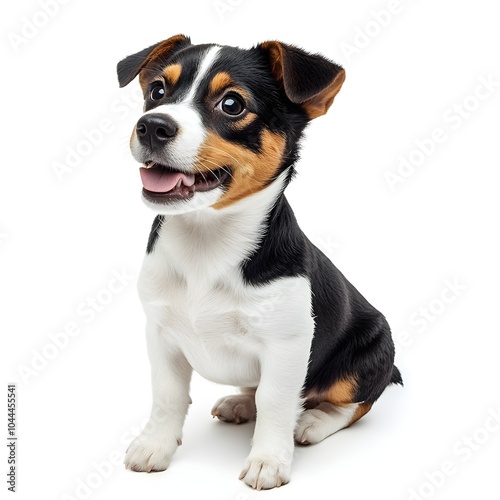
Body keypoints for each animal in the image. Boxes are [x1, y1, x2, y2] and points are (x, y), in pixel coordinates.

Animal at [117, 36, 402, 492]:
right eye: (158, 91)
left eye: (232, 104)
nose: (152, 125)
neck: (206, 242)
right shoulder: (160, 333)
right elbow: (168, 396)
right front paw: (155, 445)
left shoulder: (287, 344)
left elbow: (276, 400)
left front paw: (268, 460)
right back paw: (241, 403)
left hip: (368, 354)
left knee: (354, 402)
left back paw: (313, 421)